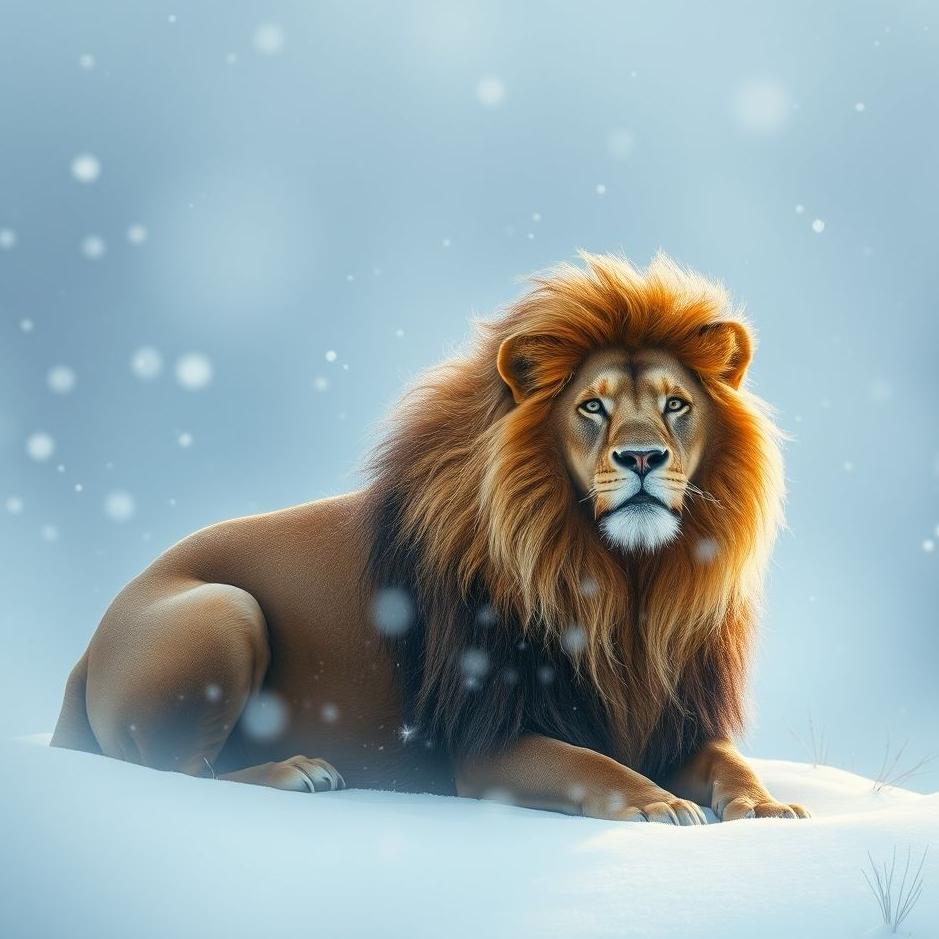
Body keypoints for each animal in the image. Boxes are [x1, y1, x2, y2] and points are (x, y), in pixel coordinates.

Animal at [52, 253, 809, 824]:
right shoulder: (488, 740)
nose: (643, 457)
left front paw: (766, 806)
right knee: (180, 772)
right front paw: (659, 804)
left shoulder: (673, 721)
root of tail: (86, 650)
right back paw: (299, 770)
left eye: (675, 404)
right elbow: (592, 763)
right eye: (591, 406)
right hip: (224, 608)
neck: (625, 579)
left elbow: (728, 759)